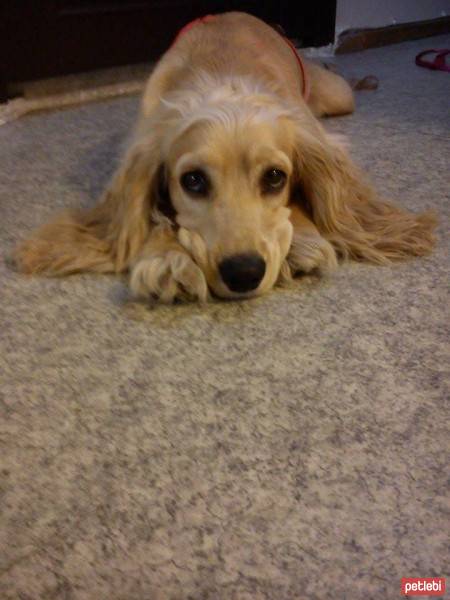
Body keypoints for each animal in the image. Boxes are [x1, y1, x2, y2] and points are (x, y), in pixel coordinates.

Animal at [14, 12, 436, 304]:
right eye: (193, 181)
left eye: (275, 177)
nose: (244, 273)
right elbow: (151, 217)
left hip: (336, 96)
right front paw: (165, 257)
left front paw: (301, 239)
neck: (223, 79)